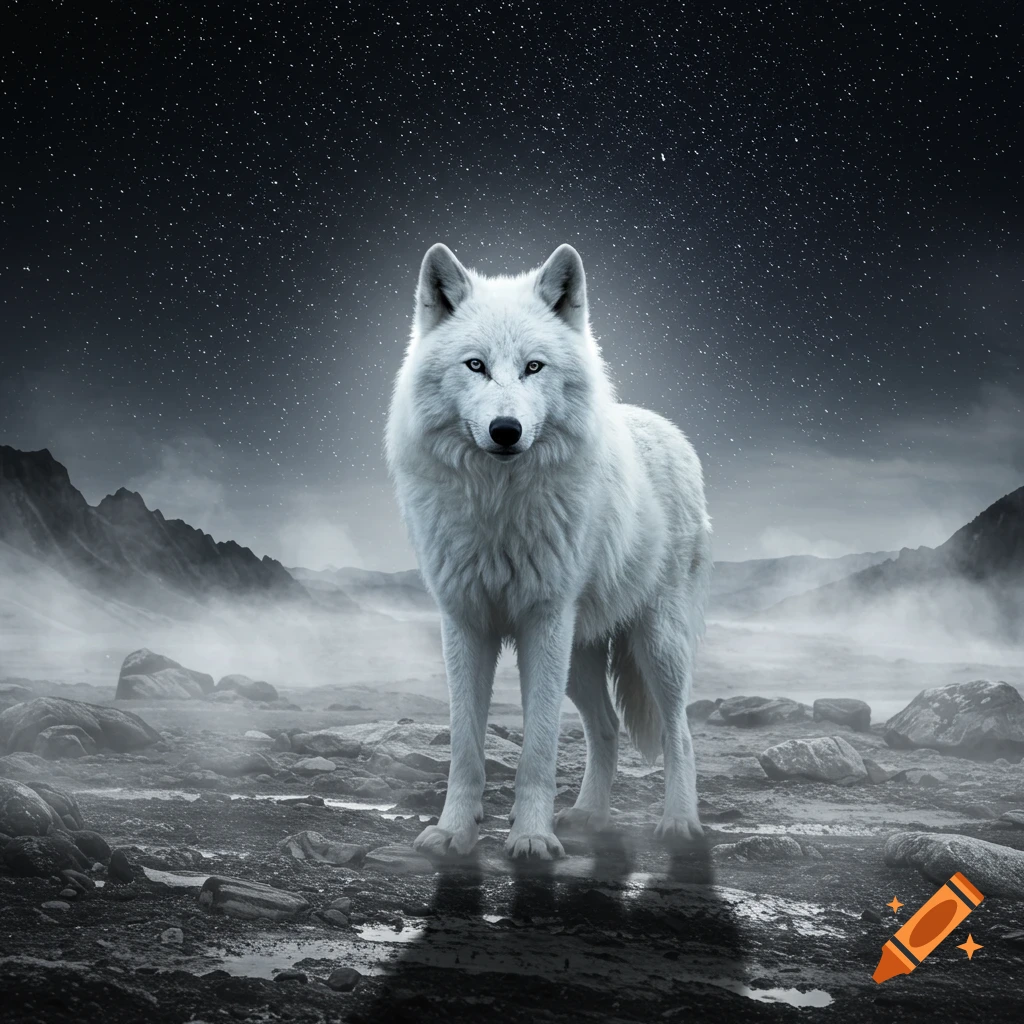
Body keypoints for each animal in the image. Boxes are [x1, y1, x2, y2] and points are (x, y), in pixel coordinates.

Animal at [385, 243, 713, 860]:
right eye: (475, 365)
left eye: (533, 367)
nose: (505, 429)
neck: (499, 509)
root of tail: (666, 426)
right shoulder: (464, 622)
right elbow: (465, 748)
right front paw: (453, 832)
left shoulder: (544, 622)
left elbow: (538, 749)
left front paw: (532, 839)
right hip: (580, 656)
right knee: (606, 727)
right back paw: (587, 815)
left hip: (653, 644)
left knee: (678, 732)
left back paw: (680, 824)